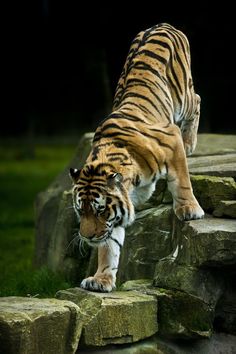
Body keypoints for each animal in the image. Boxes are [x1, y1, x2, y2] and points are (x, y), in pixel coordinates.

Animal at [69, 22, 205, 294]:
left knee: (197, 99)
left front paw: (189, 210)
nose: (87, 238)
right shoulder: (118, 212)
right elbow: (109, 245)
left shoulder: (170, 139)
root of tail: (162, 24)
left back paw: (190, 143)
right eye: (81, 210)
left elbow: (182, 182)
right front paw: (101, 279)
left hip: (183, 98)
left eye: (100, 210)